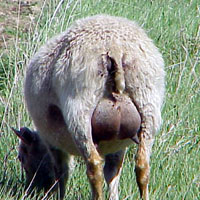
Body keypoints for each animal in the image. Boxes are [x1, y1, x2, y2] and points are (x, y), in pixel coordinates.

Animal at [23, 14, 165, 200]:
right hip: (148, 104)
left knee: (94, 166)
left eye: (22, 156)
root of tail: (115, 47)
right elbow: (113, 173)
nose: (30, 188)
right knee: (142, 165)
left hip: (80, 108)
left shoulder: (53, 143)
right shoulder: (118, 146)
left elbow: (62, 173)